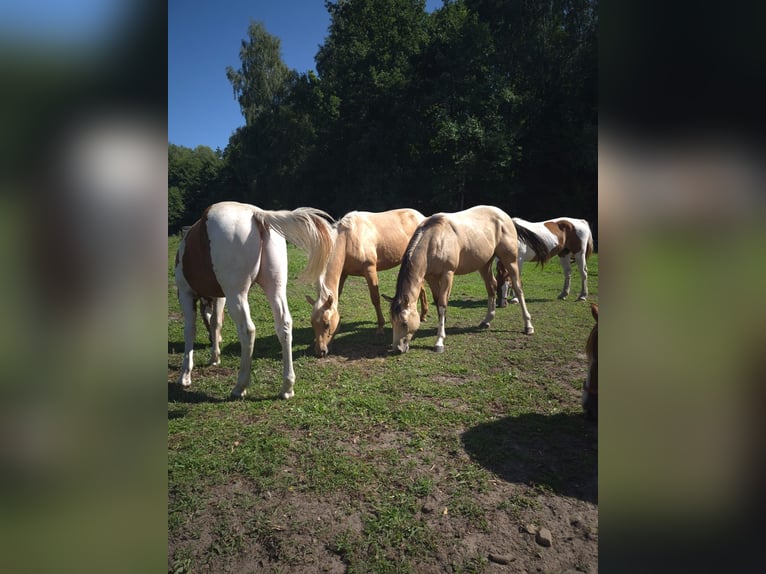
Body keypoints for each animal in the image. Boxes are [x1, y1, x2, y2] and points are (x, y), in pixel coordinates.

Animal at [174, 201, 334, 399]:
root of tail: (257, 214)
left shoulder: (185, 293)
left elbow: (190, 330)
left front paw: (185, 375)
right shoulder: (219, 297)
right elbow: (215, 323)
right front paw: (214, 357)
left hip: (237, 294)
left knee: (247, 330)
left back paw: (240, 386)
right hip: (275, 288)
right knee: (284, 325)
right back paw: (287, 387)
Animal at [305, 208, 429, 357]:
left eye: (327, 324)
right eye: (313, 323)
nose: (320, 351)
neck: (348, 238)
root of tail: (421, 216)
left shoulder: (370, 270)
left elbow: (375, 299)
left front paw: (380, 327)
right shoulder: (344, 274)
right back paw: (423, 314)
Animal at [387, 205, 551, 354]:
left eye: (404, 323)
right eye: (392, 321)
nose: (397, 349)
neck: (434, 239)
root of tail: (506, 217)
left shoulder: (448, 274)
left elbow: (442, 304)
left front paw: (439, 341)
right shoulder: (431, 278)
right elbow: (438, 302)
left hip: (510, 260)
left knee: (518, 287)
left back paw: (528, 326)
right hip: (484, 264)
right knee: (492, 287)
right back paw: (486, 320)